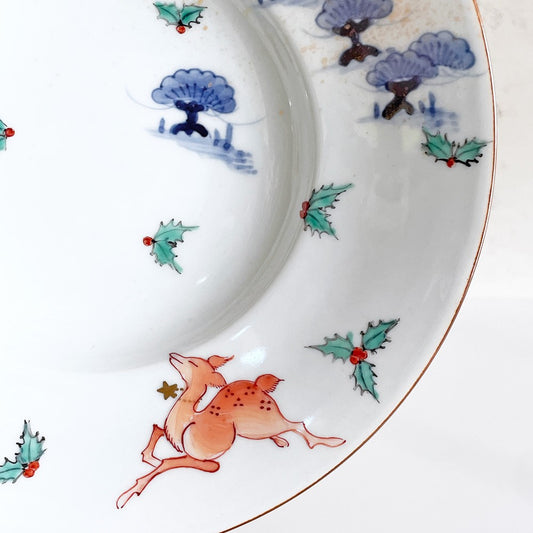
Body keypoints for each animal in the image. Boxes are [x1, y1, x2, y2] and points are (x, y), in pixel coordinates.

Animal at [116, 353, 345, 508]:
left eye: (192, 362)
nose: (173, 355)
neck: (188, 420)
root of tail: (258, 384)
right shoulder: (171, 434)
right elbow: (157, 435)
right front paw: (149, 459)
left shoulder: (205, 459)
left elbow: (171, 463)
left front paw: (125, 496)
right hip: (251, 429)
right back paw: (281, 441)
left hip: (264, 422)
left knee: (297, 425)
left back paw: (332, 442)